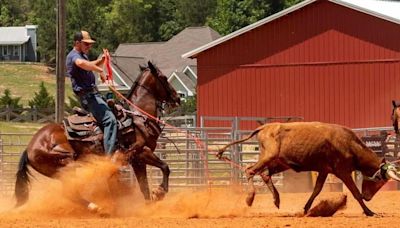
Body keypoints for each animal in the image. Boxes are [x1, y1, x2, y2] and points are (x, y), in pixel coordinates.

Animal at [14, 60, 180, 210]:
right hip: (67, 164)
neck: (137, 118)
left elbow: (144, 187)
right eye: (164, 78)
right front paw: (160, 192)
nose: (178, 98)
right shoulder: (142, 151)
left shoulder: (137, 160)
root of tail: (29, 149)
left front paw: (149, 205)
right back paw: (95, 206)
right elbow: (165, 167)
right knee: (71, 192)